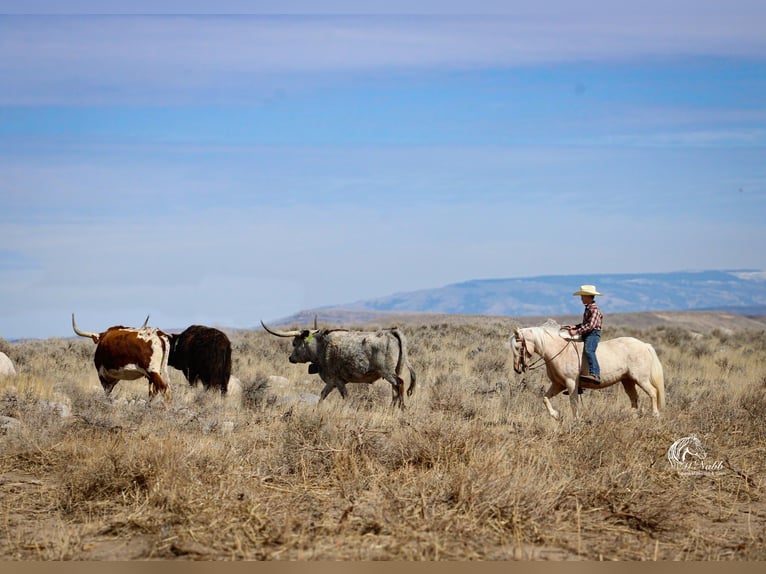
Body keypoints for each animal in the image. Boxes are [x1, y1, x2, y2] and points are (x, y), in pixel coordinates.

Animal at [510, 320, 665, 420]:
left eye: (518, 347)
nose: (517, 369)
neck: (559, 351)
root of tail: (645, 345)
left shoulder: (571, 383)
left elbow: (573, 404)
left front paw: (575, 422)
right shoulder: (558, 385)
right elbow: (545, 398)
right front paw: (556, 415)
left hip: (640, 379)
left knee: (653, 392)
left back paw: (655, 415)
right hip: (627, 380)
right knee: (634, 398)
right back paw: (632, 417)